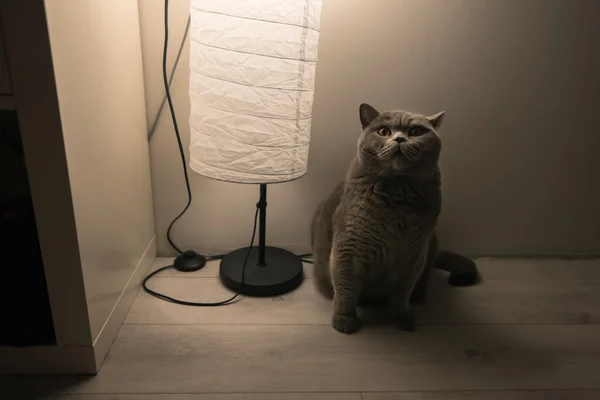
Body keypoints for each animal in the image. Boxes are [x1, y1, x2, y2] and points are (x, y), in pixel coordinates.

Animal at [312, 101, 442, 332]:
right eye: (383, 131)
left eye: (416, 132)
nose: (399, 139)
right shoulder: (349, 246)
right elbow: (346, 286)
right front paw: (345, 319)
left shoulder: (415, 254)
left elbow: (402, 292)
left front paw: (402, 317)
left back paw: (419, 297)